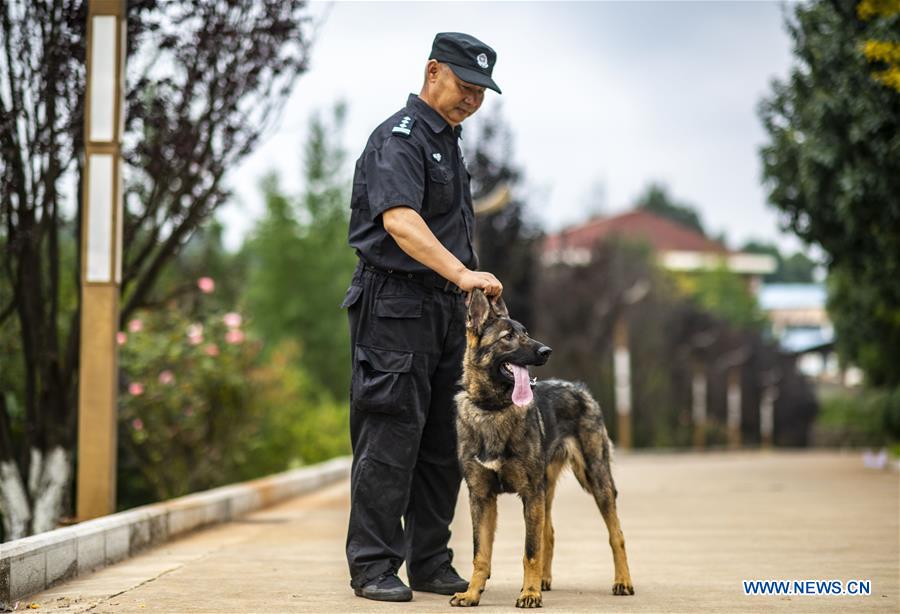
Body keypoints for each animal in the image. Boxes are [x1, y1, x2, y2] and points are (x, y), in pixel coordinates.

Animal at [450, 292, 632, 608]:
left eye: (526, 332)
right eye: (508, 337)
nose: (547, 351)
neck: (494, 408)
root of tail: (579, 387)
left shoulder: (529, 493)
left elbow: (530, 551)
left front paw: (529, 593)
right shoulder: (482, 497)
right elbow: (480, 554)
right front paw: (472, 593)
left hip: (595, 481)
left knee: (615, 534)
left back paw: (622, 581)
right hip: (546, 491)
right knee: (549, 531)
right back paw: (544, 581)